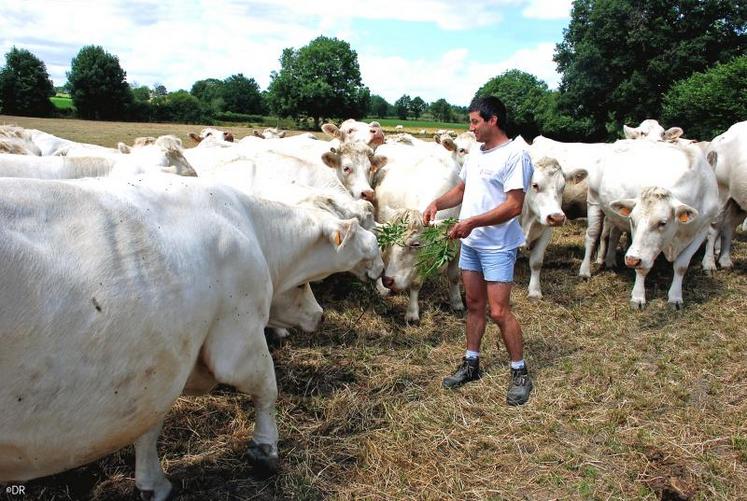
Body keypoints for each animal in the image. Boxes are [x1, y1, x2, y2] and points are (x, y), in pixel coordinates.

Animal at [0, 174, 382, 498]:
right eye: (301, 285)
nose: (320, 316)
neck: (253, 229)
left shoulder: (156, 370)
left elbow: (148, 427)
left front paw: (152, 483)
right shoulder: (239, 339)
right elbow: (267, 389)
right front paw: (265, 448)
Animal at [588, 139, 720, 306]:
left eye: (662, 223)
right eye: (632, 219)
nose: (631, 259)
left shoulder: (702, 229)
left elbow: (681, 266)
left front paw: (675, 297)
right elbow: (642, 268)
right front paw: (638, 297)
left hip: (612, 216)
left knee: (613, 233)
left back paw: (610, 260)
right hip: (593, 202)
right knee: (592, 236)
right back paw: (586, 269)